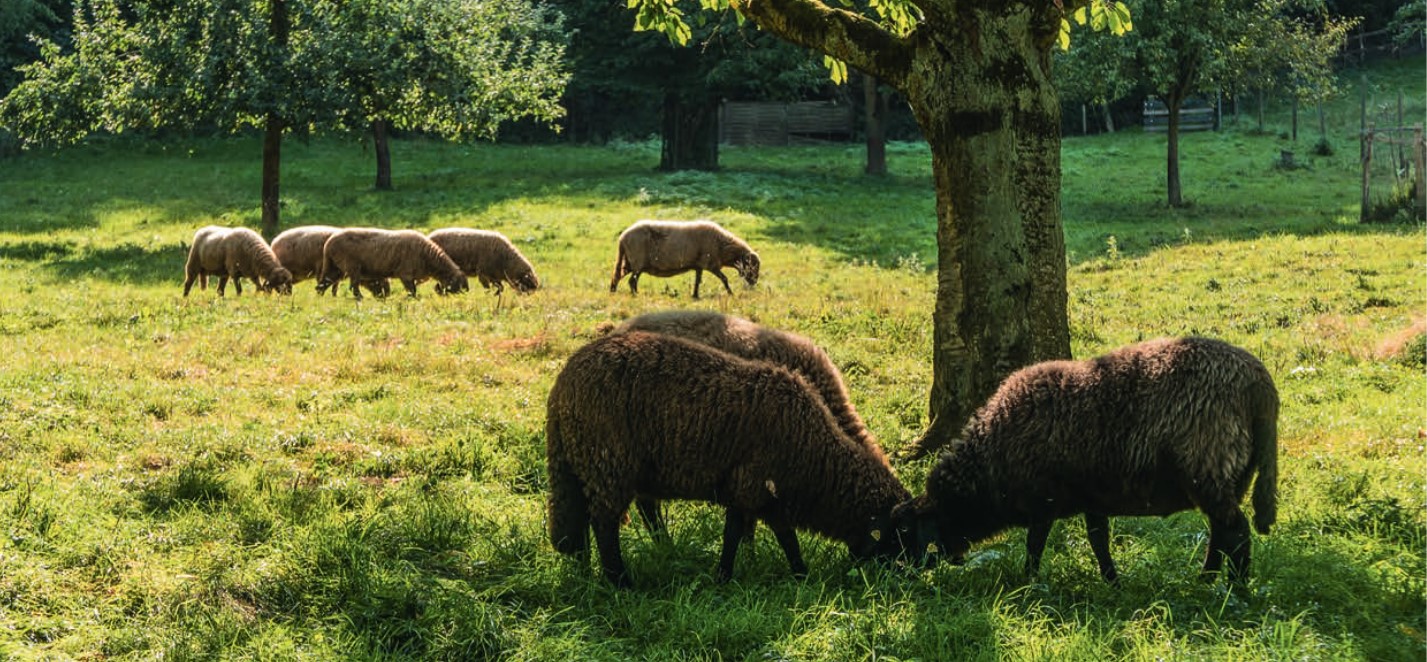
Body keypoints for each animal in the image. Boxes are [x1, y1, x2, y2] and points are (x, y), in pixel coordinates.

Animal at [317, 228, 469, 299]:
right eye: (460, 286)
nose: (465, 296)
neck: (428, 257)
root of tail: (328, 244)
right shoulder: (406, 273)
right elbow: (412, 291)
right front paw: (412, 299)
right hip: (351, 266)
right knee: (353, 286)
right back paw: (360, 297)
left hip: (335, 266)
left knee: (323, 283)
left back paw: (320, 297)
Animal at [608, 220, 760, 298]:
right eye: (753, 267)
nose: (754, 283)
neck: (722, 246)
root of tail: (622, 237)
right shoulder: (710, 264)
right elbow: (724, 279)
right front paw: (730, 293)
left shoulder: (699, 265)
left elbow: (697, 281)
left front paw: (695, 295)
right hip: (637, 261)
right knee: (630, 280)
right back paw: (635, 295)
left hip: (631, 262)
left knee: (618, 276)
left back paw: (614, 291)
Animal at [892, 336, 1279, 585]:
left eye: (912, 531)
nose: (902, 575)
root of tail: (1260, 385)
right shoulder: (1094, 499)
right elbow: (1098, 542)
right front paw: (1112, 582)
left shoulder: (1043, 502)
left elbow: (1035, 545)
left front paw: (1028, 582)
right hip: (1228, 477)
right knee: (1221, 532)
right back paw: (1206, 579)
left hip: (1208, 468)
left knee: (1236, 531)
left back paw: (1236, 589)